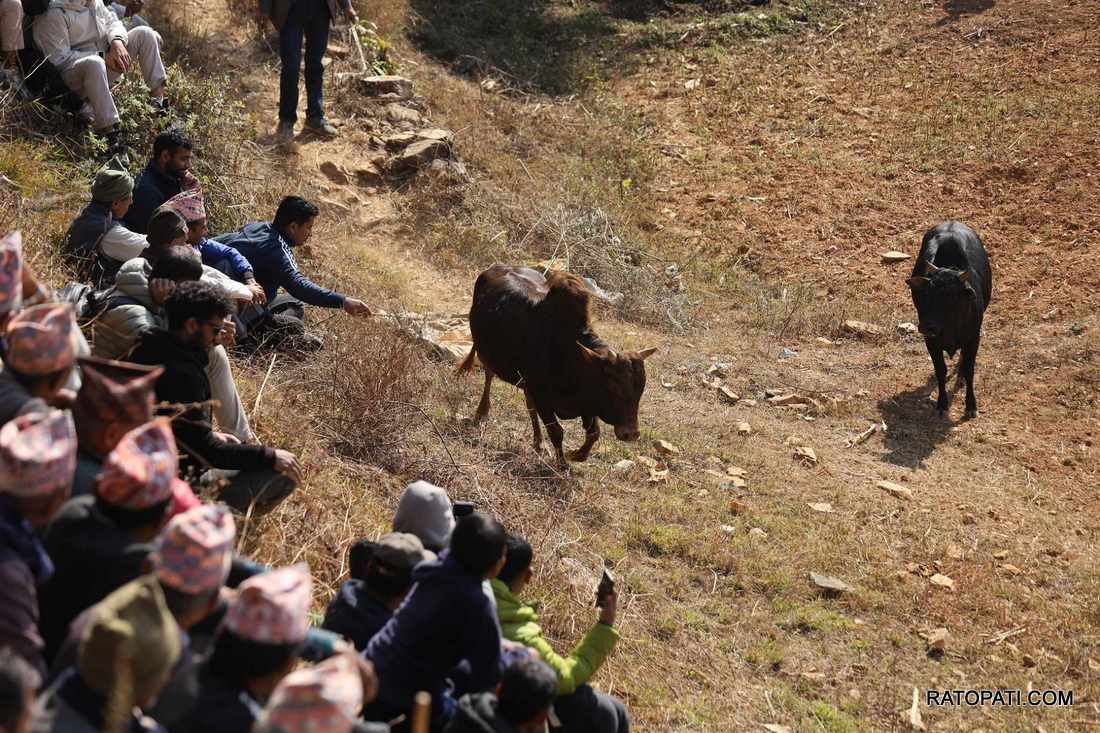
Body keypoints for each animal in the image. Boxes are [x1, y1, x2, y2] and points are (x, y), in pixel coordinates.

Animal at [453, 265, 651, 464]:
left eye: (641, 388)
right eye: (614, 386)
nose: (631, 434)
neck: (571, 356)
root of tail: (497, 266)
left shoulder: (588, 402)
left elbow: (593, 433)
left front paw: (576, 454)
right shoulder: (542, 397)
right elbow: (557, 431)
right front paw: (562, 464)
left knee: (529, 405)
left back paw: (539, 443)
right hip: (486, 352)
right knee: (489, 377)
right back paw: (481, 413)